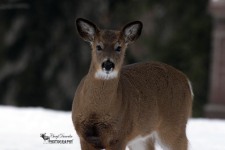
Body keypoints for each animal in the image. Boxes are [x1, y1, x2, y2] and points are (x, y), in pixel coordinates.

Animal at [71, 18, 192, 150]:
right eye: (98, 46)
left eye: (119, 47)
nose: (108, 64)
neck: (96, 111)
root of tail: (186, 80)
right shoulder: (84, 136)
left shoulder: (119, 135)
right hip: (142, 137)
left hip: (174, 125)